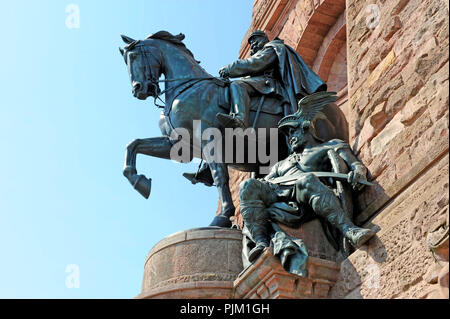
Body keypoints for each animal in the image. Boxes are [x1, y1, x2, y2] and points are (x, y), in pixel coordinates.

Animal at [119, 30, 348, 228]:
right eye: (126, 60)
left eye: (136, 56)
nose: (138, 90)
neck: (187, 87)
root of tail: (338, 112)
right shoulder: (178, 145)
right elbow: (133, 145)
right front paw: (139, 182)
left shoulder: (209, 139)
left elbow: (221, 176)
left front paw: (222, 217)